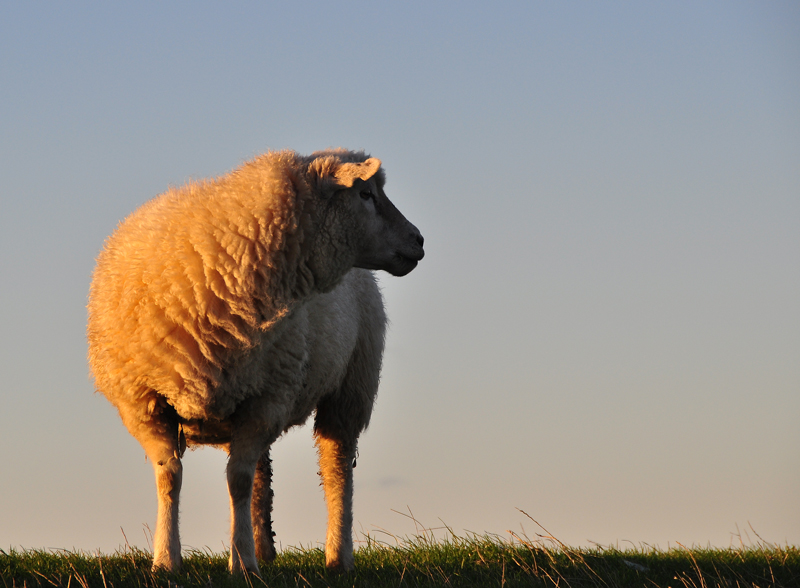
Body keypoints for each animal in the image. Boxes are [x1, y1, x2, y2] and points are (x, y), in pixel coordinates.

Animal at [86, 148, 424, 574]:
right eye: (365, 194)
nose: (419, 240)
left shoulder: (266, 401)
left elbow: (238, 481)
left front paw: (243, 563)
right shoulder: (145, 402)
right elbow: (172, 478)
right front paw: (166, 561)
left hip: (350, 386)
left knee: (336, 470)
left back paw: (337, 556)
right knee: (264, 478)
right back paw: (266, 548)